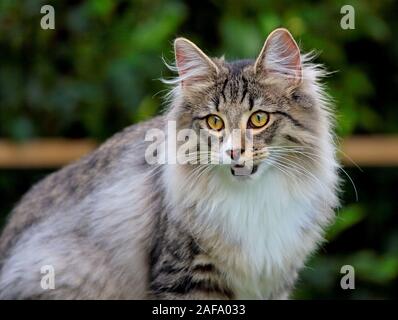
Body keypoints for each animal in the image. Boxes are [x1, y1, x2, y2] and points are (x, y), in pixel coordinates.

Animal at [0, 28, 338, 298]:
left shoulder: (275, 280)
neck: (254, 198)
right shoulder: (186, 275)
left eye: (258, 119)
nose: (233, 153)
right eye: (215, 122)